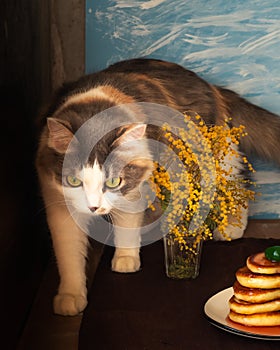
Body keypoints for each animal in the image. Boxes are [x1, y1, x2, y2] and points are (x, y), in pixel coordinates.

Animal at [35, 57, 280, 314]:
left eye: (113, 181)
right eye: (75, 181)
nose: (94, 208)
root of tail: (208, 85)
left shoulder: (134, 188)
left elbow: (127, 226)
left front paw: (125, 260)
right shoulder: (57, 200)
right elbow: (69, 256)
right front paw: (70, 297)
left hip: (212, 158)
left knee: (240, 181)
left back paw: (231, 227)